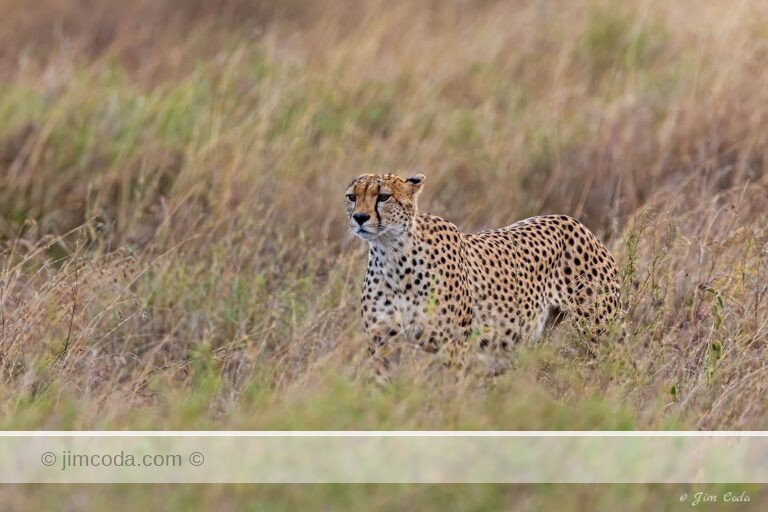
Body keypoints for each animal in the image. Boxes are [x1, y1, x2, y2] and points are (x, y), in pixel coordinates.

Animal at [345, 172, 621, 370]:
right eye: (352, 197)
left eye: (383, 197)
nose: (359, 217)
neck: (392, 254)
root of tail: (571, 220)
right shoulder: (382, 346)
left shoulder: (452, 347)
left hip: (600, 332)